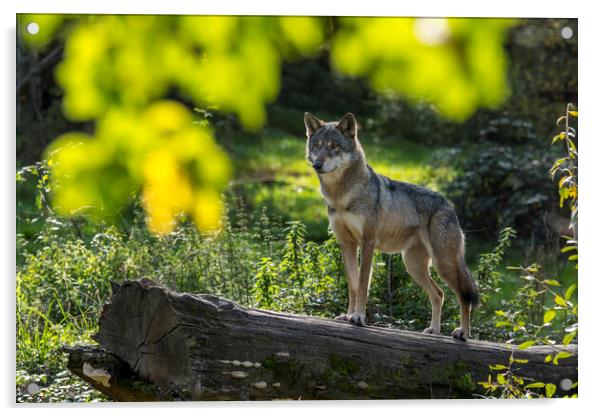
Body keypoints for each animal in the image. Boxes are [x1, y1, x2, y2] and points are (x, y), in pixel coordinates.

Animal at [304, 111, 478, 342]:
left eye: (334, 146)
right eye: (317, 146)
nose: (317, 164)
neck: (342, 195)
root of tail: (449, 204)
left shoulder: (367, 243)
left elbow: (363, 284)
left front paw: (358, 317)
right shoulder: (347, 244)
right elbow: (352, 285)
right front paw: (348, 315)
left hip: (443, 264)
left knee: (462, 296)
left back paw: (463, 332)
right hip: (413, 265)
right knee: (439, 294)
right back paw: (434, 330)